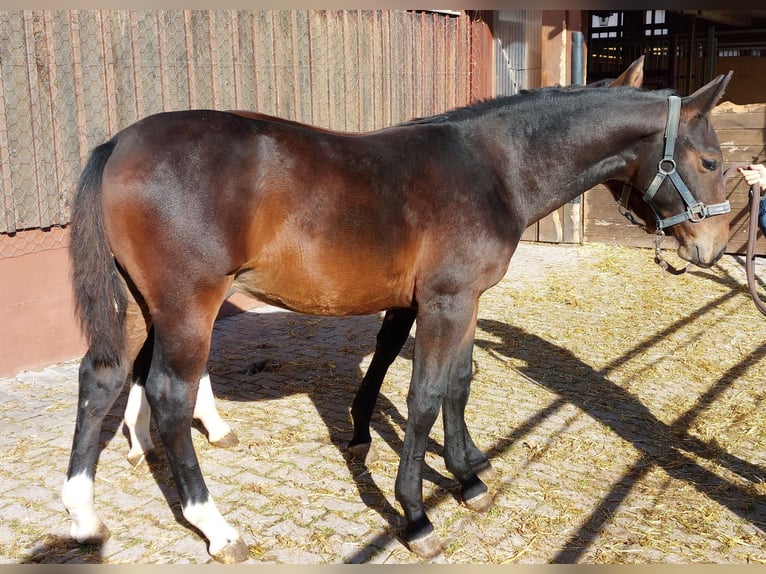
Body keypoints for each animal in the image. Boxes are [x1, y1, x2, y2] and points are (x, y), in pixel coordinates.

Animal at [120, 55, 647, 471]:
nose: (675, 233)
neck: (491, 169)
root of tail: (117, 151)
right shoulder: (441, 299)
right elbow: (417, 375)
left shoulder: (424, 299)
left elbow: (422, 366)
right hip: (190, 301)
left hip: (158, 303)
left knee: (140, 363)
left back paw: (148, 441)